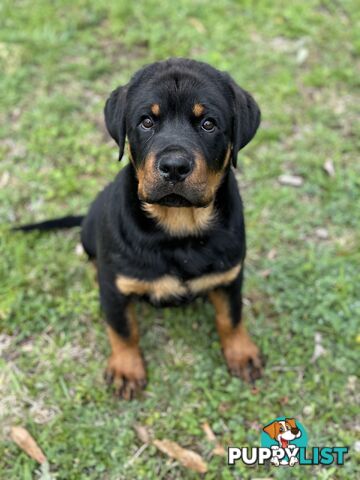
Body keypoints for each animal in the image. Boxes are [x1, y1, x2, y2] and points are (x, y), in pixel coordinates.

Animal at [16, 58, 262, 400]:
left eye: (208, 124)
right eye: (146, 122)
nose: (174, 166)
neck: (178, 228)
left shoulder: (229, 275)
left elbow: (231, 316)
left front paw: (242, 353)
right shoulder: (115, 288)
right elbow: (123, 329)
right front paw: (126, 369)